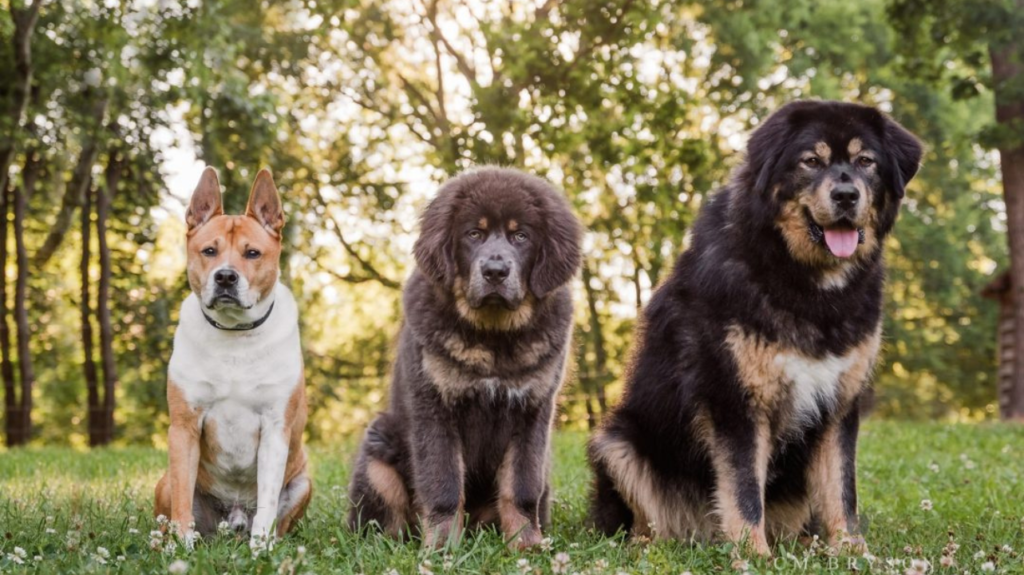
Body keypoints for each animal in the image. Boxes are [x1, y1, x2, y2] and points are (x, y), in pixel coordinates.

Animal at [153, 166, 309, 552]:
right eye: (209, 250)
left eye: (252, 253)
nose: (225, 276)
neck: (235, 335)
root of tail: (232, 522)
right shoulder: (184, 426)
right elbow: (182, 498)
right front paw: (181, 546)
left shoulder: (275, 428)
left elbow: (268, 498)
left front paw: (261, 549)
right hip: (164, 482)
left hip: (303, 481)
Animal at [348, 165, 581, 544]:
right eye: (474, 233)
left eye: (521, 236)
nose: (495, 272)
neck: (493, 336)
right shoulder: (434, 405)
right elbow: (443, 485)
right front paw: (443, 546)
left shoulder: (533, 410)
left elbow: (521, 488)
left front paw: (527, 544)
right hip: (378, 454)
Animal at [589, 100, 925, 552]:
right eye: (811, 161)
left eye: (865, 162)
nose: (846, 194)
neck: (804, 282)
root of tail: (700, 534)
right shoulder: (735, 398)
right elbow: (744, 489)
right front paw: (753, 554)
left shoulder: (839, 404)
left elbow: (841, 489)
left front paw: (851, 551)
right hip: (617, 440)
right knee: (646, 518)